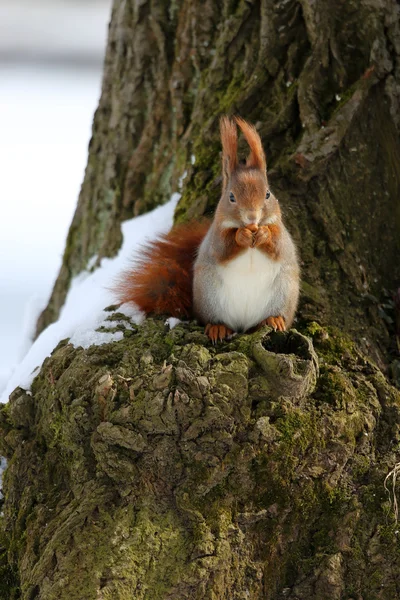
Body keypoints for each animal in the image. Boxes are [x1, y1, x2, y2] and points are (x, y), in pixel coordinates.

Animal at [114, 116, 298, 342]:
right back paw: (218, 328)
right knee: (215, 319)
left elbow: (278, 245)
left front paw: (263, 233)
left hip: (284, 293)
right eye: (231, 196)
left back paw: (273, 319)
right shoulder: (215, 237)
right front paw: (242, 236)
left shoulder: (282, 234)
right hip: (210, 298)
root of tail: (243, 324)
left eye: (268, 194)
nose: (252, 218)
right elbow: (223, 248)